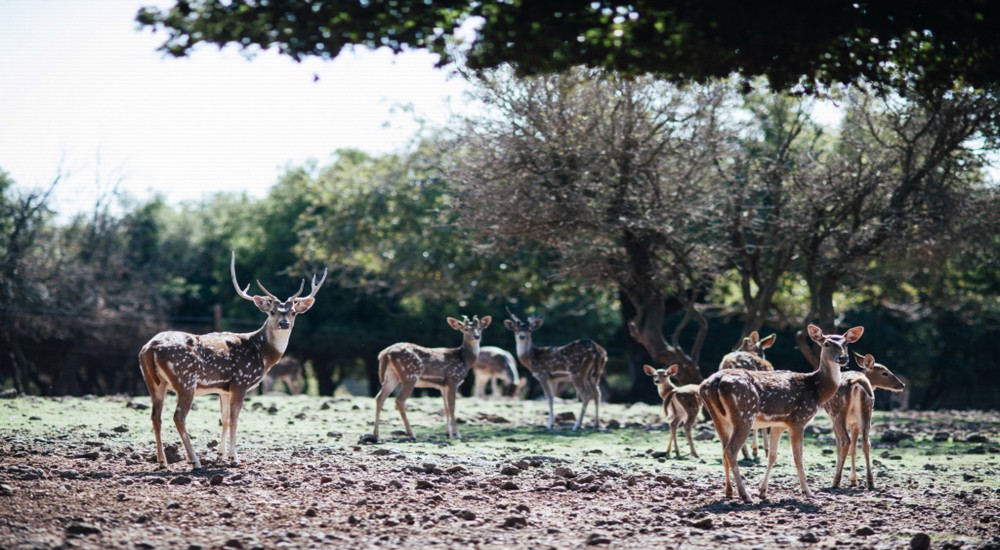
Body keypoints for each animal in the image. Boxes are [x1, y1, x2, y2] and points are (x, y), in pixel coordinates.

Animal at [138, 252, 326, 469]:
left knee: (155, 417)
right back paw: (195, 461)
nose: (284, 323)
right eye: (272, 312)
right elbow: (235, 419)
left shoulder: (223, 389)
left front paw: (220, 456)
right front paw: (234, 459)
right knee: (178, 417)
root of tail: (150, 348)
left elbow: (225, 419)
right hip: (185, 380)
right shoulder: (240, 382)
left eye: (293, 312)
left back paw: (162, 462)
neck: (262, 354)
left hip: (153, 382)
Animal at [824, 352, 906, 490]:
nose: (902, 385)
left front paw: (850, 479)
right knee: (866, 443)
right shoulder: (854, 423)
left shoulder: (833, 419)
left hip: (838, 414)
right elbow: (854, 448)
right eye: (885, 372)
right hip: (867, 412)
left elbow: (839, 447)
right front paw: (853, 480)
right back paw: (871, 482)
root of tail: (857, 382)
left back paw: (836, 481)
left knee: (846, 441)